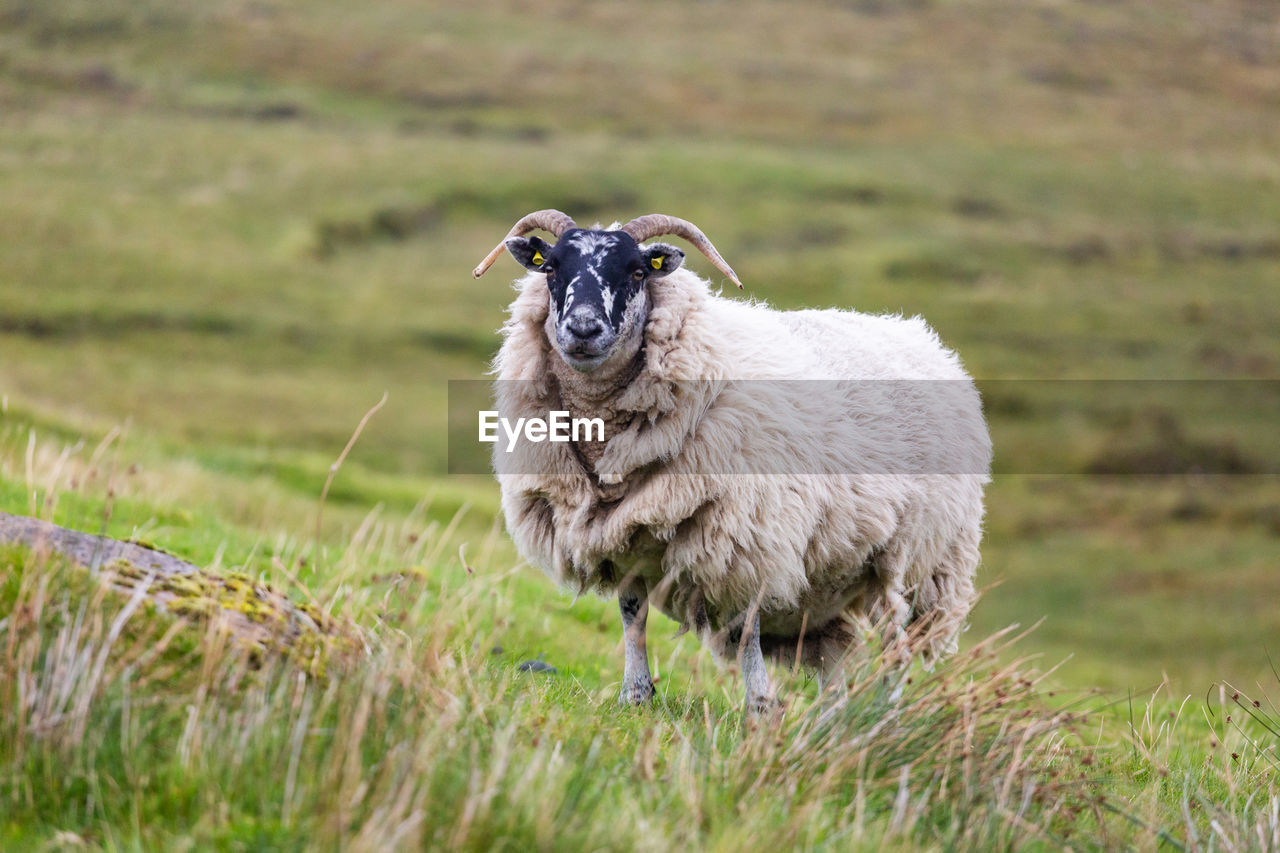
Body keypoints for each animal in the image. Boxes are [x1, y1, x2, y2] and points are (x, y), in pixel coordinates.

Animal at [471, 207, 988, 712]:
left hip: (917, 559)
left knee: (896, 640)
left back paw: (884, 713)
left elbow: (745, 630)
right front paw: (635, 696)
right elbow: (631, 614)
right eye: (552, 267)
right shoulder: (622, 535)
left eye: (637, 271)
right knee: (836, 651)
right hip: (830, 578)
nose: (582, 329)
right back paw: (832, 720)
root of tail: (924, 339)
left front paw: (759, 705)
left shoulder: (744, 540)